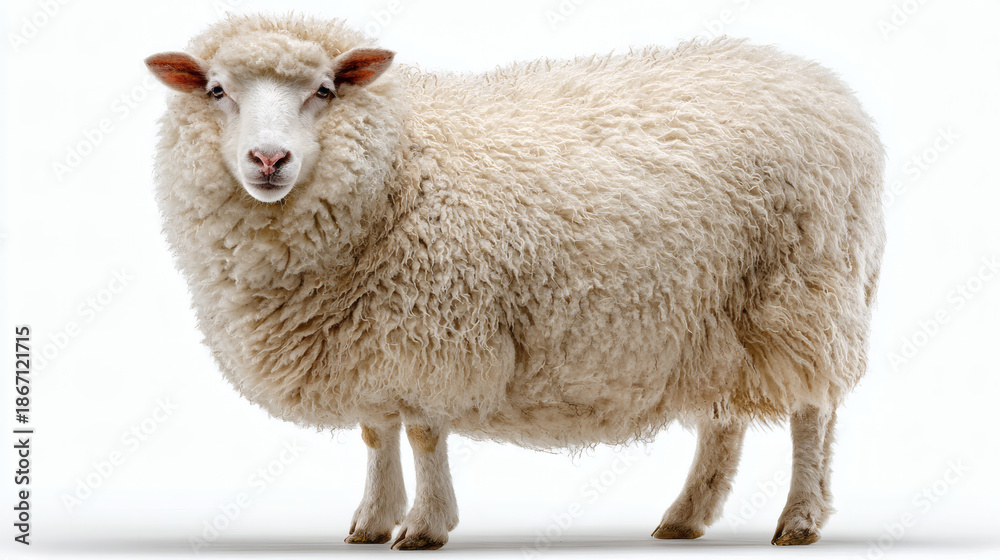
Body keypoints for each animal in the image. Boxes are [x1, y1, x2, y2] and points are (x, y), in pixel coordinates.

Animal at [145, 14, 885, 550]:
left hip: (804, 297)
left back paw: (800, 520)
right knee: (722, 418)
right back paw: (685, 516)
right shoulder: (371, 337)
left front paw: (424, 527)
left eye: (324, 90)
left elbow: (423, 435)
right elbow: (378, 433)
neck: (398, 165)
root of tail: (824, 86)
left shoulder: (432, 328)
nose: (268, 158)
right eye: (216, 90)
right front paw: (372, 521)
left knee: (813, 415)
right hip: (712, 313)